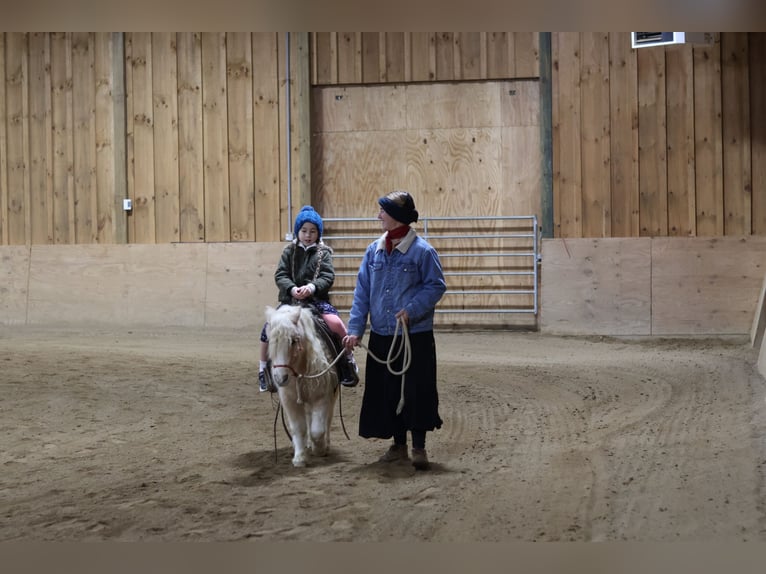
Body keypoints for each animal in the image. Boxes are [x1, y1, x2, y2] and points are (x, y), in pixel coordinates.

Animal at [266, 306, 340, 468]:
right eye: (270, 341)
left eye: (294, 341)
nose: (280, 378)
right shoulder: (290, 402)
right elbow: (299, 428)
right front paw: (300, 457)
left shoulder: (321, 397)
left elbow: (317, 431)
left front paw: (319, 449)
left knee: (327, 420)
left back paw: (324, 444)